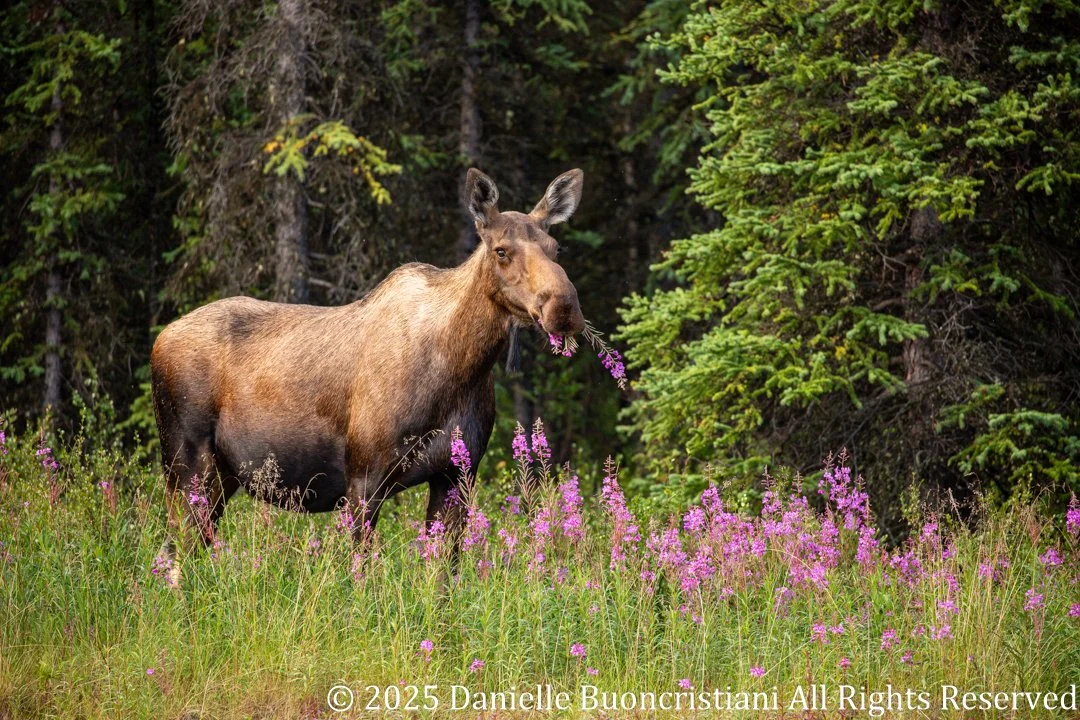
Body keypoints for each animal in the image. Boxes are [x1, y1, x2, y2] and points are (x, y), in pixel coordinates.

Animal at [151, 168, 586, 575]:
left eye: (556, 247)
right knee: (174, 557)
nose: (564, 308)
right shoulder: (364, 477)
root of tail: (159, 339)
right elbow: (362, 577)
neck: (458, 370)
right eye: (501, 250)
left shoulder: (457, 475)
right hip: (184, 462)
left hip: (222, 476)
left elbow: (444, 578)